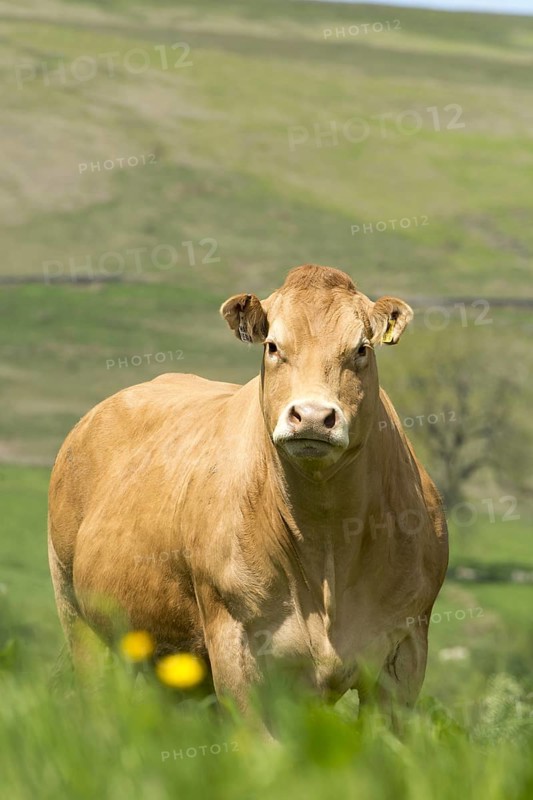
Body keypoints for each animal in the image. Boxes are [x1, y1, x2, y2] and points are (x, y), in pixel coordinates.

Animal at [48, 264, 448, 729]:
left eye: (361, 349)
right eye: (273, 346)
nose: (313, 416)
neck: (328, 540)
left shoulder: (404, 654)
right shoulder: (236, 647)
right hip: (77, 616)